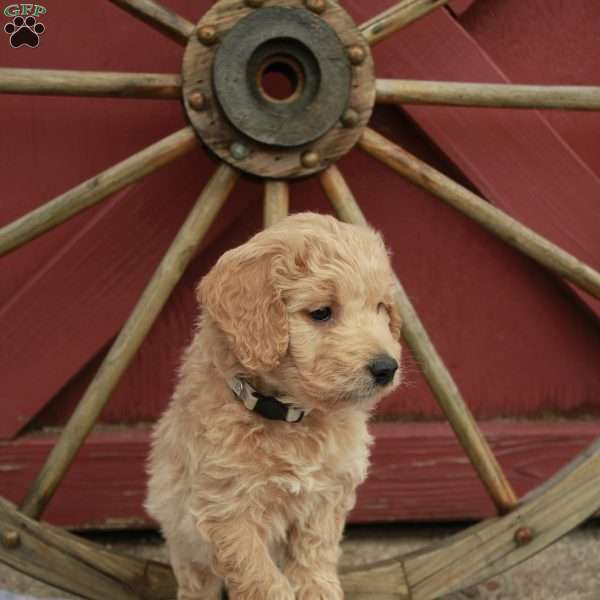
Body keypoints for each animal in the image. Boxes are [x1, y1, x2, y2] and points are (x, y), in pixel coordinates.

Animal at [144, 213, 404, 596]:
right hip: (184, 543)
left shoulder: (329, 491)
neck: (290, 416)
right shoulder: (226, 507)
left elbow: (316, 547)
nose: (387, 368)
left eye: (381, 308)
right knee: (197, 585)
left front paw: (317, 589)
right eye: (321, 313)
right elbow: (258, 574)